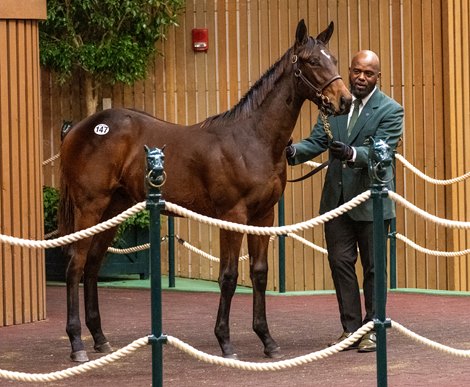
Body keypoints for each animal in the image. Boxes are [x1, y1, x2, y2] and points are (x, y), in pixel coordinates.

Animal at [58, 19, 350, 364]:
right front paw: (225, 342)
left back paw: (100, 339)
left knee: (92, 266)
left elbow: (259, 273)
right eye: (312, 61)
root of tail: (79, 128)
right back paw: (76, 344)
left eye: (333, 57)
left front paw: (267, 340)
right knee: (75, 266)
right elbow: (228, 276)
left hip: (113, 211)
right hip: (90, 207)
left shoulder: (263, 217)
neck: (253, 140)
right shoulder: (232, 215)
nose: (344, 100)